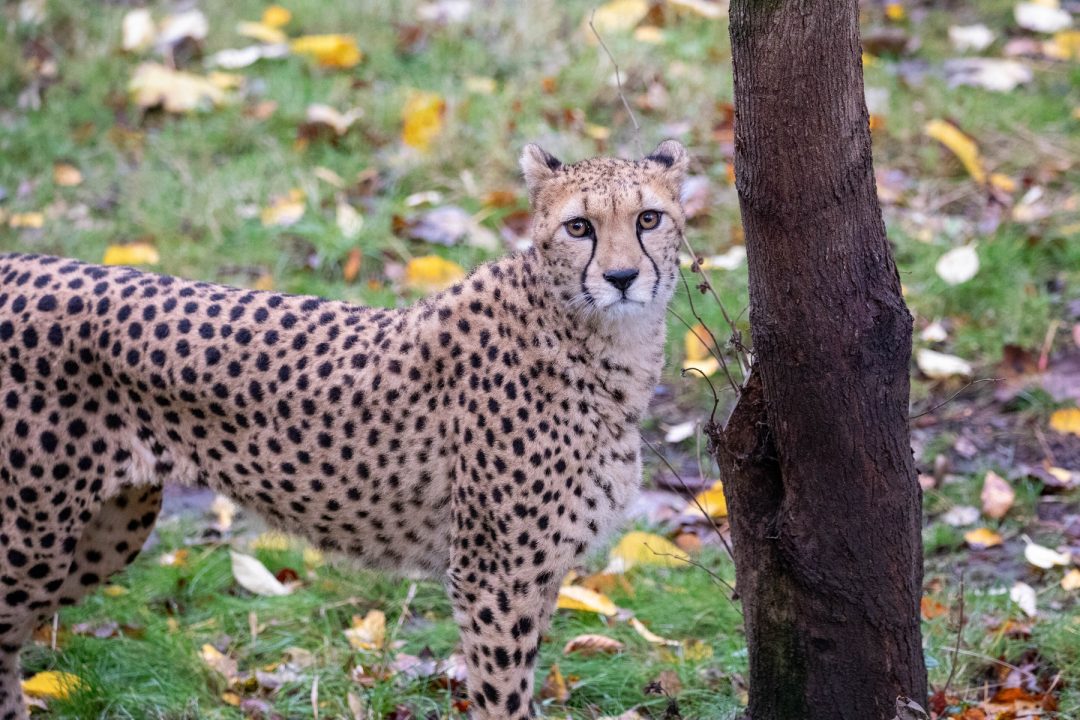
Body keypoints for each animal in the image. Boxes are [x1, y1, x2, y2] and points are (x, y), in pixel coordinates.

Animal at [0, 140, 689, 720]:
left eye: (648, 219)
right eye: (579, 227)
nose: (622, 278)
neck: (599, 342)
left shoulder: (536, 577)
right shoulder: (492, 579)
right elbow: (503, 698)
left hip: (105, 532)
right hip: (33, 538)